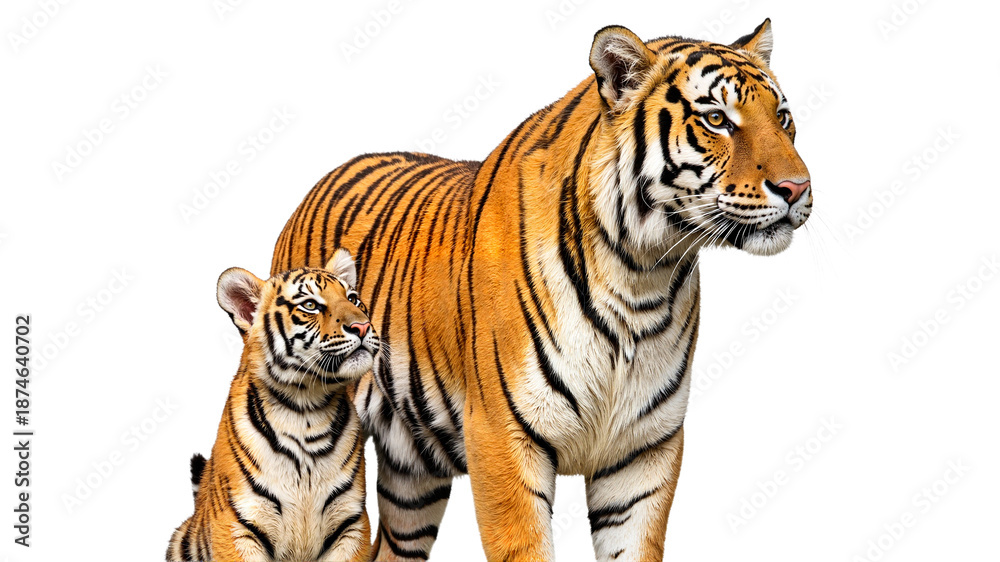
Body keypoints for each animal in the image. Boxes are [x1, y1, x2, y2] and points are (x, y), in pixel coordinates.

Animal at [166, 250, 379, 562]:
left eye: (353, 298)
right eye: (310, 305)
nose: (362, 326)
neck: (307, 410)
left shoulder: (352, 524)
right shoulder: (236, 526)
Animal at [271, 19, 810, 562]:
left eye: (783, 118)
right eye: (717, 119)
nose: (797, 188)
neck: (641, 274)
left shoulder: (643, 453)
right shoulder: (502, 439)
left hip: (413, 474)